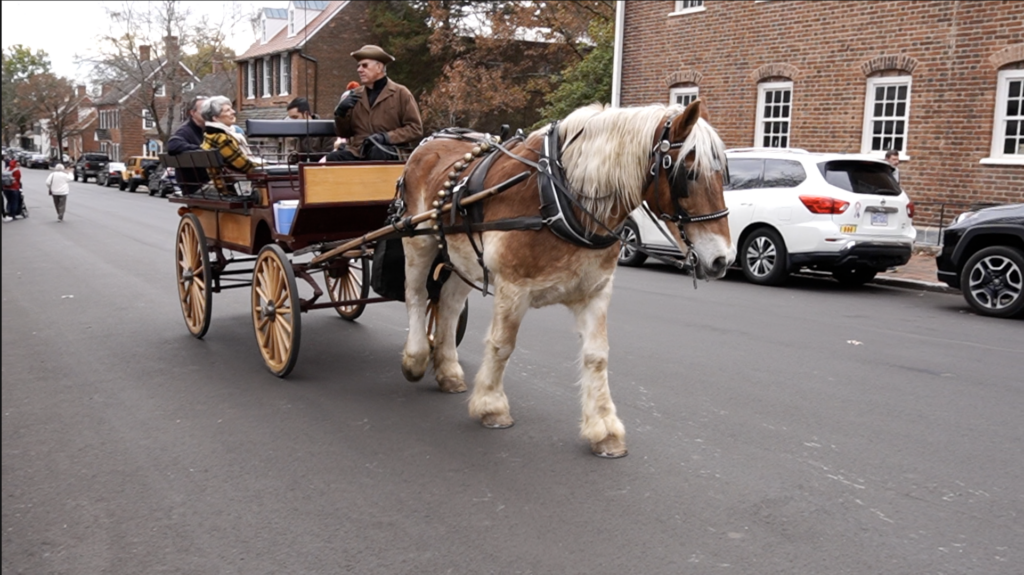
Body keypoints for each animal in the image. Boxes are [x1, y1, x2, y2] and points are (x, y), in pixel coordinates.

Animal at [395, 99, 733, 456]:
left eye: (723, 173)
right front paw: (491, 406)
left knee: (448, 303)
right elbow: (502, 345)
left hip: (462, 258)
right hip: (418, 242)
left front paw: (604, 428)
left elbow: (597, 356)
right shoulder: (513, 287)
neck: (558, 198)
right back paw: (416, 358)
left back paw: (447, 370)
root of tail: (428, 143)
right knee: (416, 295)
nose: (722, 259)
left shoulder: (596, 291)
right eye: (688, 174)